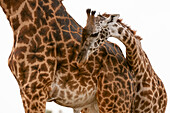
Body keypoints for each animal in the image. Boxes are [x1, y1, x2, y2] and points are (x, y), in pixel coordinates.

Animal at [0, 0, 134, 112]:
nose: (80, 60)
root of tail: (129, 70)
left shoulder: (35, 88)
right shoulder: (28, 89)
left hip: (114, 102)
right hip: (93, 104)